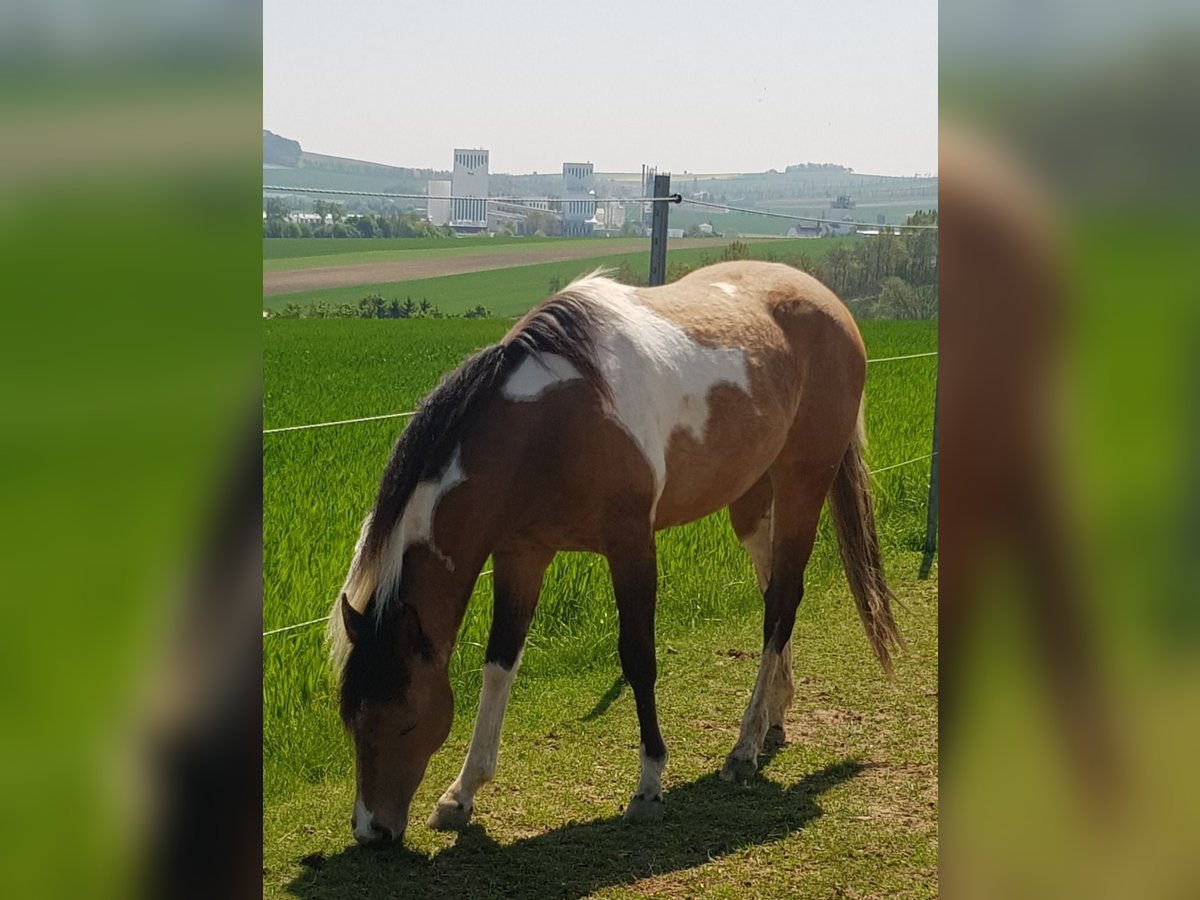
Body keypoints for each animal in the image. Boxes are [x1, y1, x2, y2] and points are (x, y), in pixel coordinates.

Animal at [327, 259, 903, 845]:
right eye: (352, 721)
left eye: (405, 721)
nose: (371, 829)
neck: (550, 425)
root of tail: (831, 303)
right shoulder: (521, 557)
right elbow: (498, 665)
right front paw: (460, 795)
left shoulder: (630, 546)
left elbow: (638, 657)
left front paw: (648, 786)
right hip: (751, 501)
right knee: (773, 596)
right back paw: (772, 717)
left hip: (802, 484)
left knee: (783, 600)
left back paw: (742, 748)